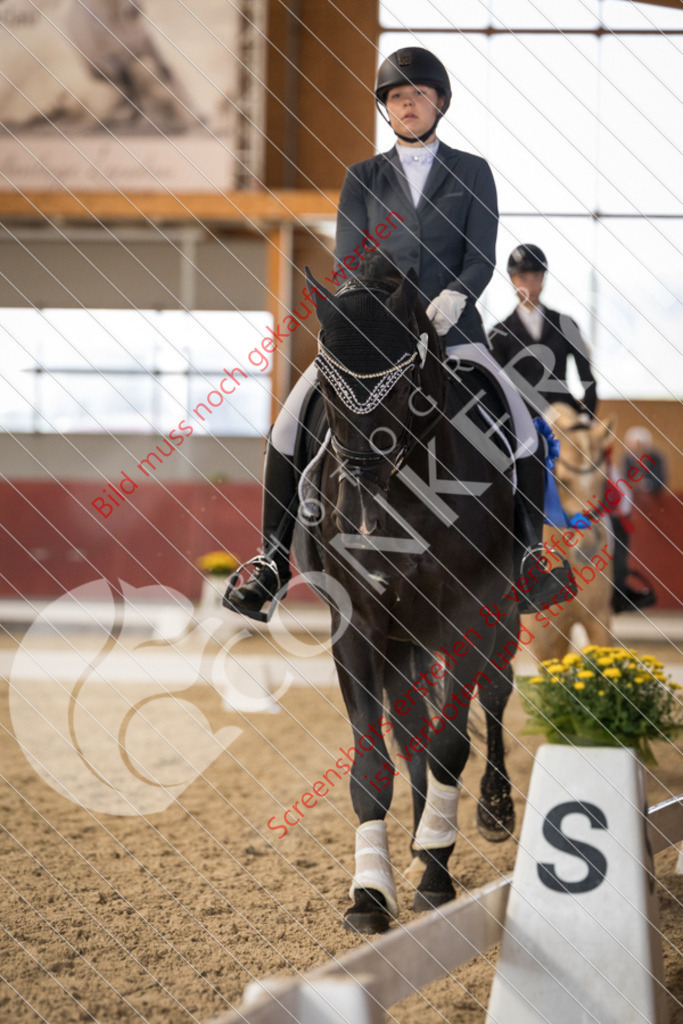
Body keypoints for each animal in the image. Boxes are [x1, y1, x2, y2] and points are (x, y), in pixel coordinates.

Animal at [292, 258, 518, 937]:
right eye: (325, 380)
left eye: (403, 382)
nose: (359, 489)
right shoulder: (357, 627)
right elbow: (373, 764)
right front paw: (370, 893)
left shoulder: (468, 615)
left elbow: (452, 744)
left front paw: (437, 878)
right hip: (402, 640)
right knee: (411, 726)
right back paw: (421, 840)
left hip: (501, 613)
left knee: (494, 694)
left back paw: (487, 814)